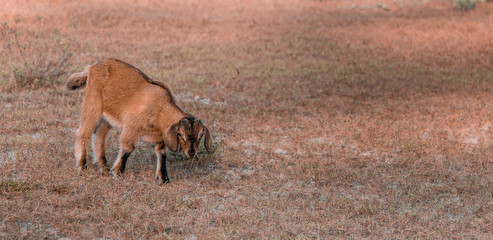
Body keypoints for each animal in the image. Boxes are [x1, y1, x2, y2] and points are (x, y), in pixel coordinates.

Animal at [66, 59, 211, 183]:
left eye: (200, 135)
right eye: (180, 134)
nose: (191, 152)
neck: (160, 108)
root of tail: (92, 67)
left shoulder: (161, 138)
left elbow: (162, 154)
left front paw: (163, 179)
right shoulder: (131, 126)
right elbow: (128, 149)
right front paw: (117, 172)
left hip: (107, 117)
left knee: (99, 135)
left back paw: (104, 168)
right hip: (93, 104)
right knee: (83, 133)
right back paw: (82, 166)